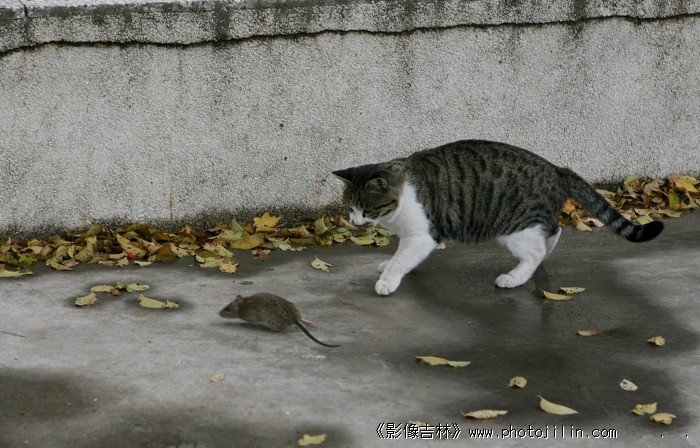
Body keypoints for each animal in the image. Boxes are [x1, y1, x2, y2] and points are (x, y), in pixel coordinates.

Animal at [332, 140, 663, 296]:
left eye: (366, 209)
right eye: (350, 208)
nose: (356, 223)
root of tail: (557, 169)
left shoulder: (422, 235)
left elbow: (402, 259)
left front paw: (388, 280)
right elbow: (399, 256)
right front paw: (389, 264)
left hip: (512, 228)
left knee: (536, 250)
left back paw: (515, 277)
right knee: (554, 231)